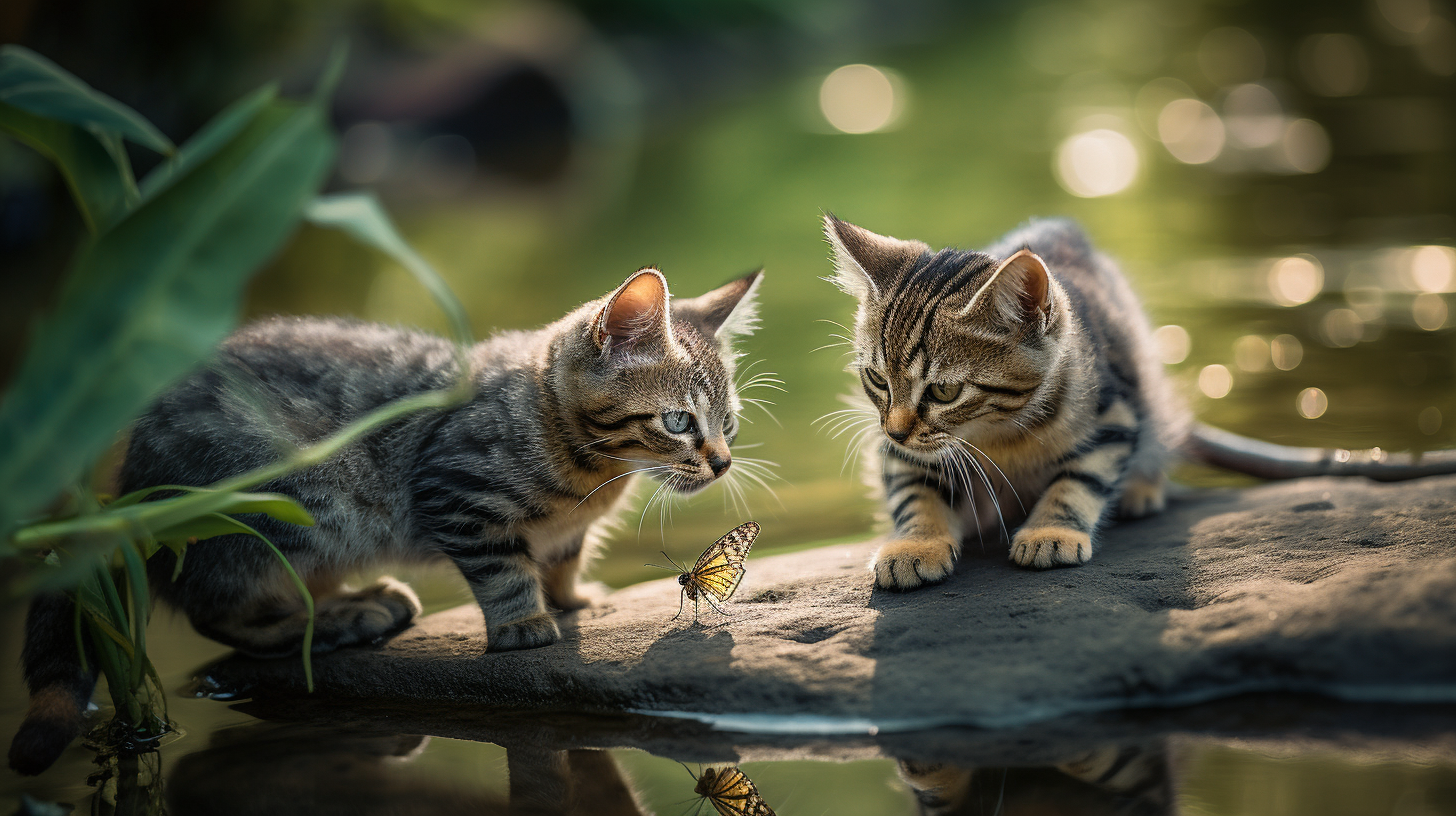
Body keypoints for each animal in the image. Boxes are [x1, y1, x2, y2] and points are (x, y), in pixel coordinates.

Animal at [8, 269, 762, 775]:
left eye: (728, 423)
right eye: (678, 422)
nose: (722, 463)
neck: (586, 473)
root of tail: (129, 489)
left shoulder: (565, 530)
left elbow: (561, 555)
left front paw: (574, 598)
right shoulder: (456, 492)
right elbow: (503, 569)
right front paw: (524, 622)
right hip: (285, 513)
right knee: (219, 610)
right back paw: (341, 618)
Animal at [827, 214, 1176, 585]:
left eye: (944, 391)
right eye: (877, 379)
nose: (895, 432)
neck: (998, 430)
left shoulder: (1113, 416)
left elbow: (1081, 479)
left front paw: (1050, 531)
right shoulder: (903, 451)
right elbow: (915, 490)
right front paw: (915, 544)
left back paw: (1141, 488)